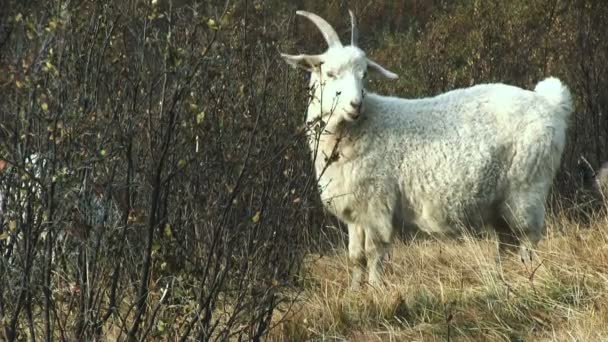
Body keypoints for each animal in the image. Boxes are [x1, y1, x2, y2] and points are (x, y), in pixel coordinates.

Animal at [282, 10, 576, 288]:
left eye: (364, 74)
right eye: (330, 73)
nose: (356, 104)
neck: (360, 127)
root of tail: (550, 102)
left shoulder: (377, 204)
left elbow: (374, 253)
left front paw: (376, 291)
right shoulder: (357, 211)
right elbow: (356, 257)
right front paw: (354, 293)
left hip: (527, 190)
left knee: (527, 240)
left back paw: (527, 277)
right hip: (502, 202)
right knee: (507, 243)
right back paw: (503, 275)